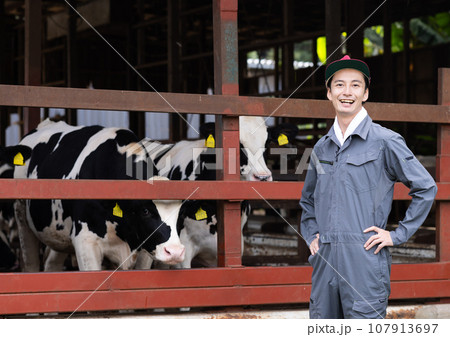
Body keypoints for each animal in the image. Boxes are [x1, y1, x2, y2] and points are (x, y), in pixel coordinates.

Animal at [11, 118, 185, 270]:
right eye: (146, 211)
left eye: (180, 213)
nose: (175, 252)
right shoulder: (84, 241)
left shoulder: (145, 247)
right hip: (22, 219)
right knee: (31, 264)